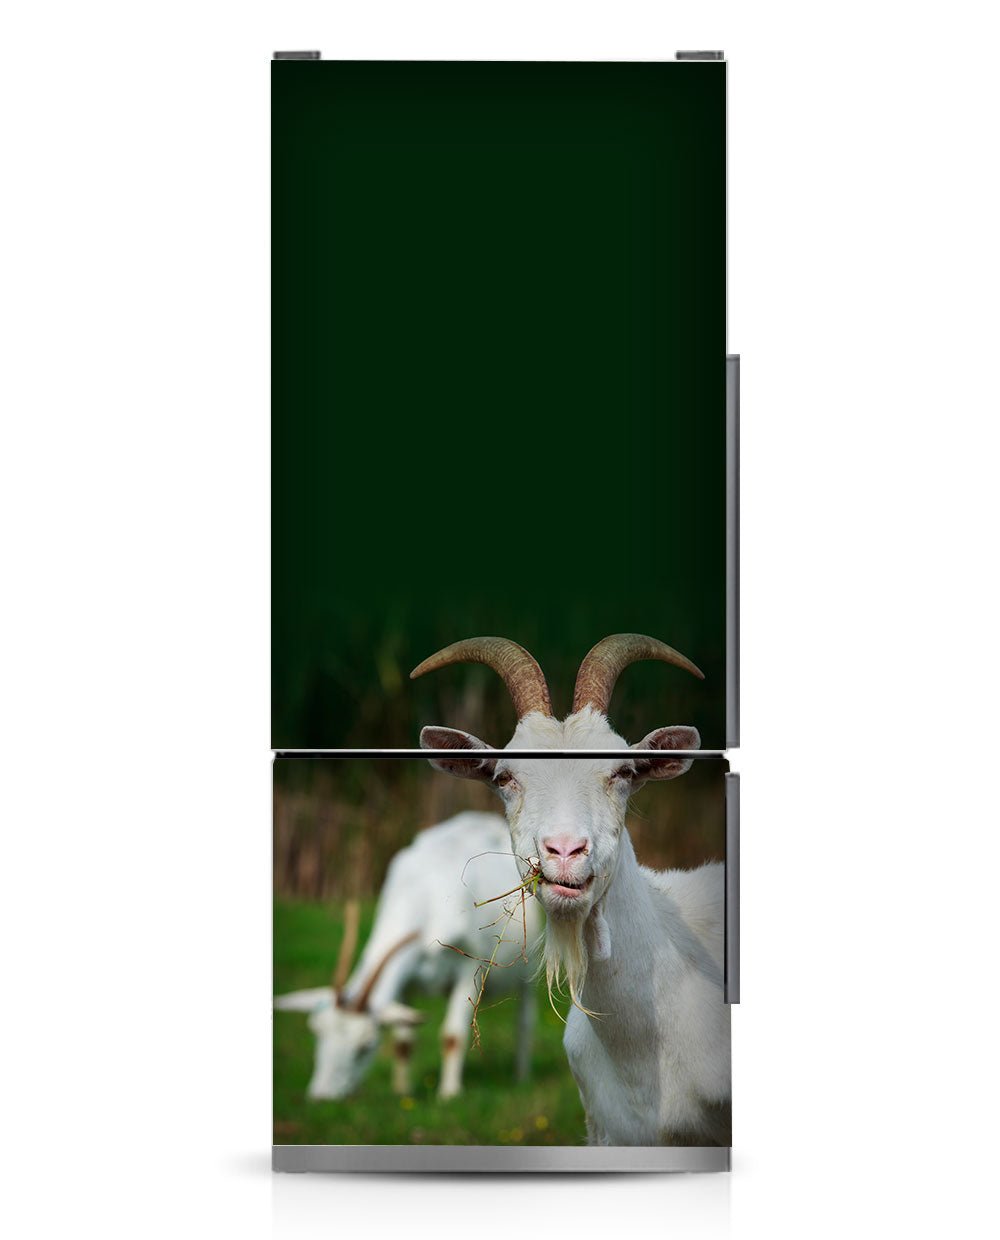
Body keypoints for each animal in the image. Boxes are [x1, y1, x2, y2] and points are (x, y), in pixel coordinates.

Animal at [275, 811, 541, 1101]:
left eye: (365, 1046)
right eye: (318, 1034)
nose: (321, 1097)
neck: (424, 890)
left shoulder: (469, 968)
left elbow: (453, 1036)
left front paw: (449, 1094)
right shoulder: (406, 980)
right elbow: (403, 1042)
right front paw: (402, 1091)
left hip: (528, 970)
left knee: (524, 1021)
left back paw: (522, 1077)